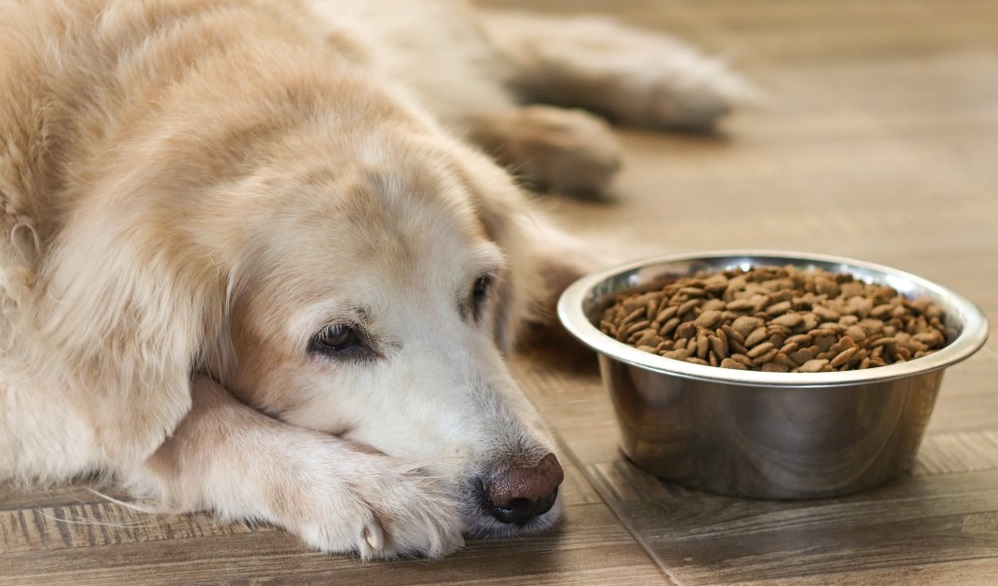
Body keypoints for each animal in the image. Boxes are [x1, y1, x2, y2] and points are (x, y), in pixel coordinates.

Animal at [0, 0, 752, 556]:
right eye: (336, 339)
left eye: (480, 291)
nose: (530, 489)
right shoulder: (33, 361)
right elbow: (182, 416)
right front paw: (354, 485)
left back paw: (657, 88)